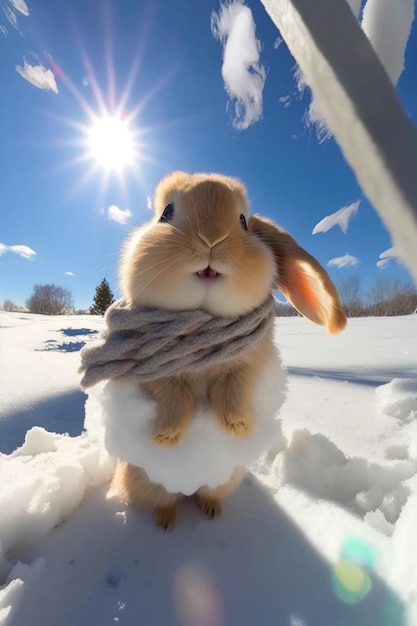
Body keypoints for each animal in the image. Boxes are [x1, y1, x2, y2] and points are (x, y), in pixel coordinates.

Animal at [110, 171, 344, 528]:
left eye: (244, 221)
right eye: (166, 213)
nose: (211, 239)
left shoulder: (246, 368)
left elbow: (233, 393)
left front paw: (239, 427)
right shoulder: (159, 377)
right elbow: (174, 397)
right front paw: (165, 437)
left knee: (207, 494)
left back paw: (211, 511)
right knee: (163, 500)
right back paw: (166, 520)